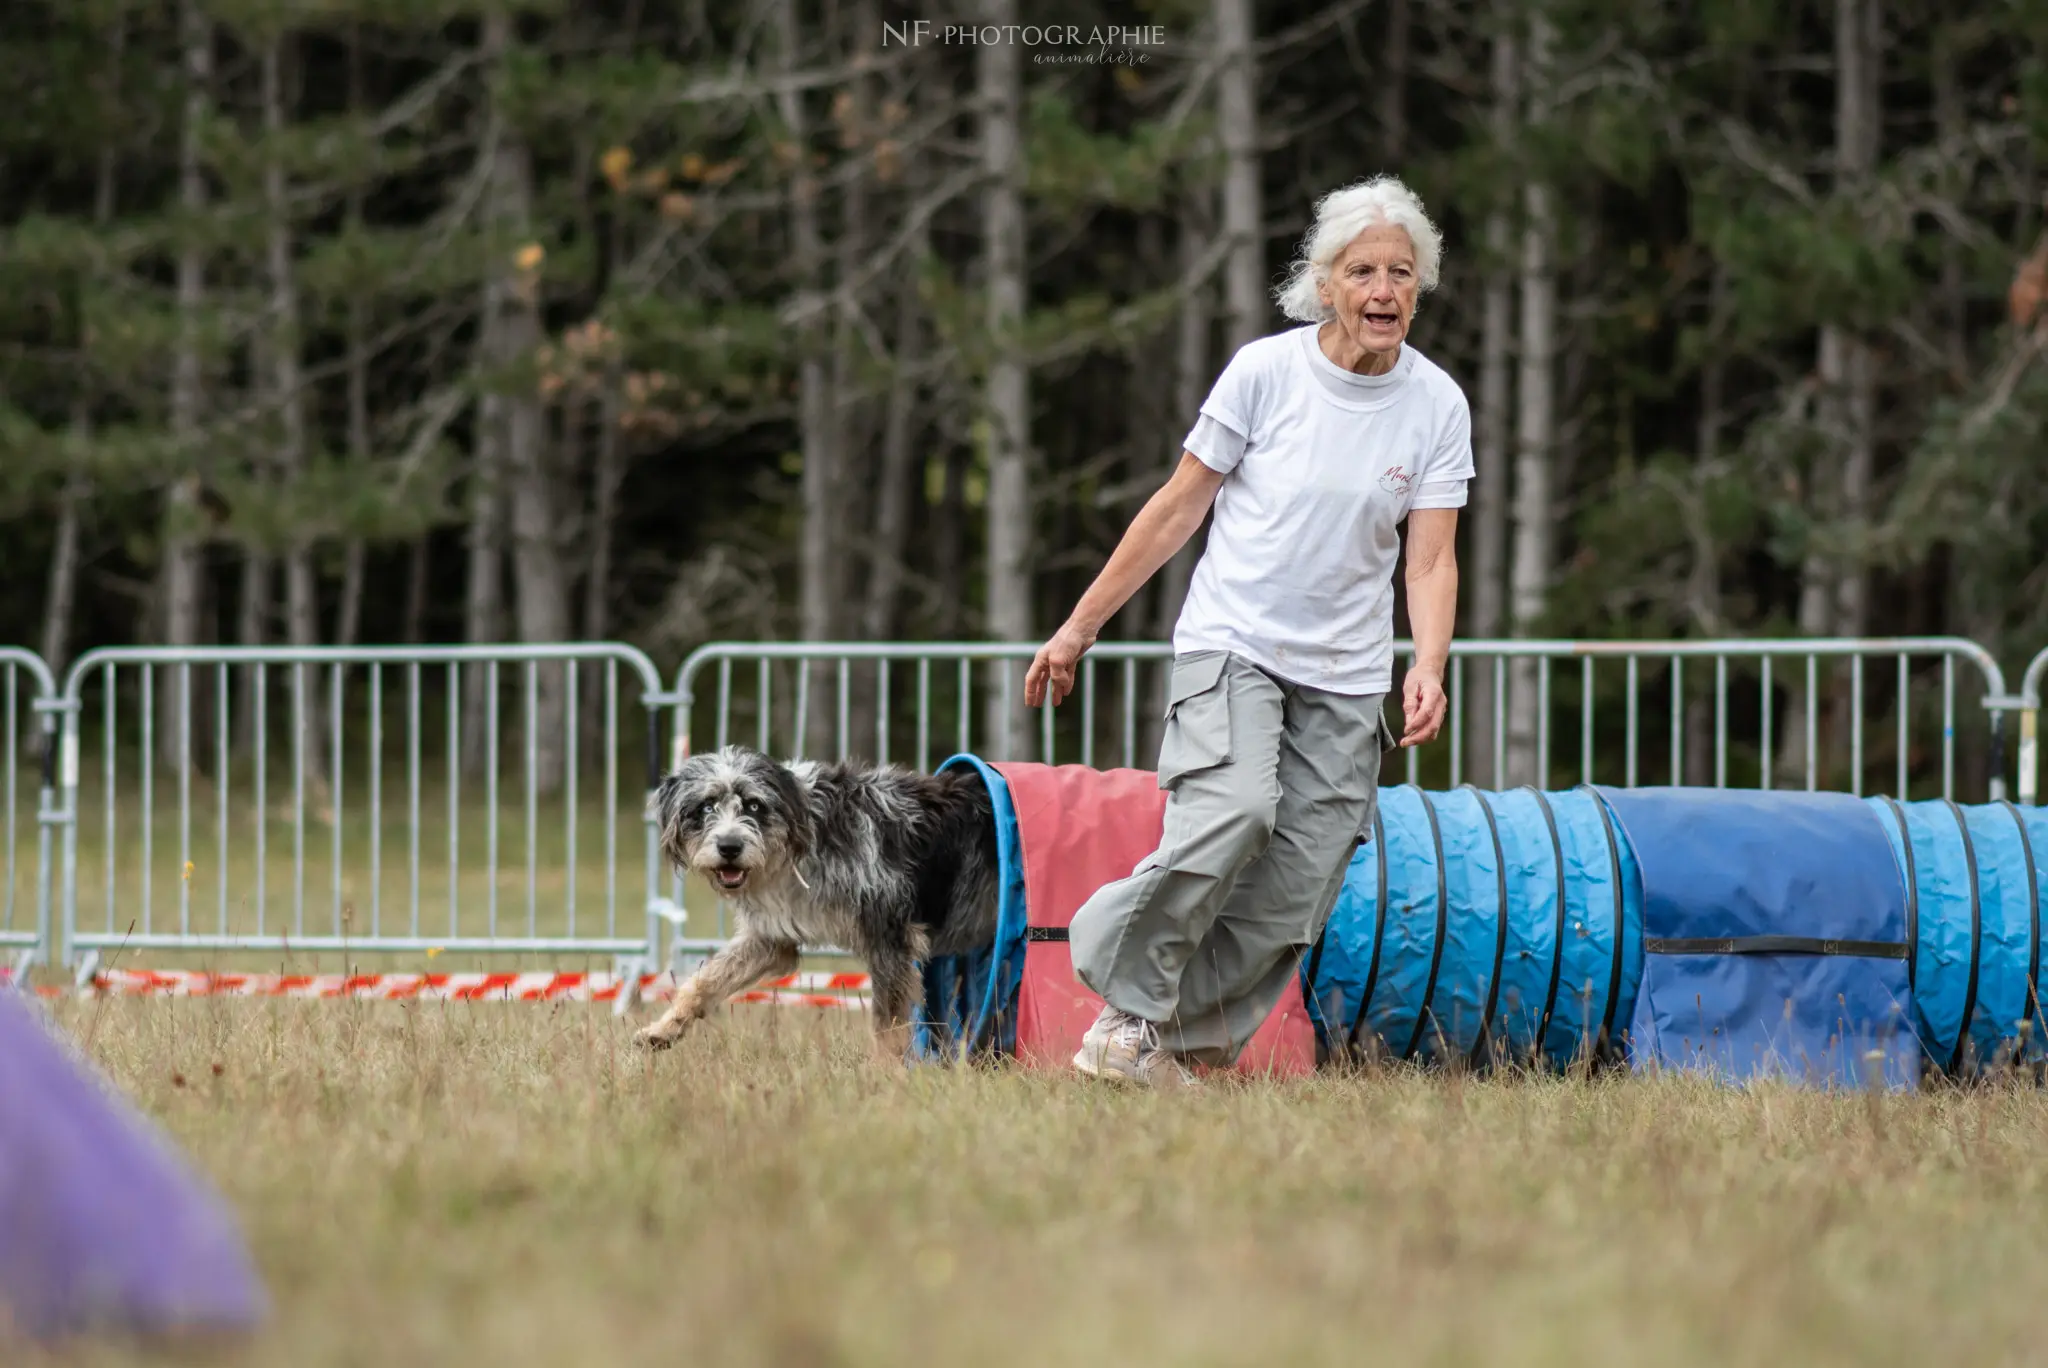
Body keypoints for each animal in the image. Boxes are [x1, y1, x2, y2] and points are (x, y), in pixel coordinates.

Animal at [630, 749, 999, 1056]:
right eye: (706, 807)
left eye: (754, 805)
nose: (730, 847)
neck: (803, 842)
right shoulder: (770, 937)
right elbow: (704, 980)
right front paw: (663, 1028)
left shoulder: (890, 939)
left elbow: (888, 1024)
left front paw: (886, 1075)